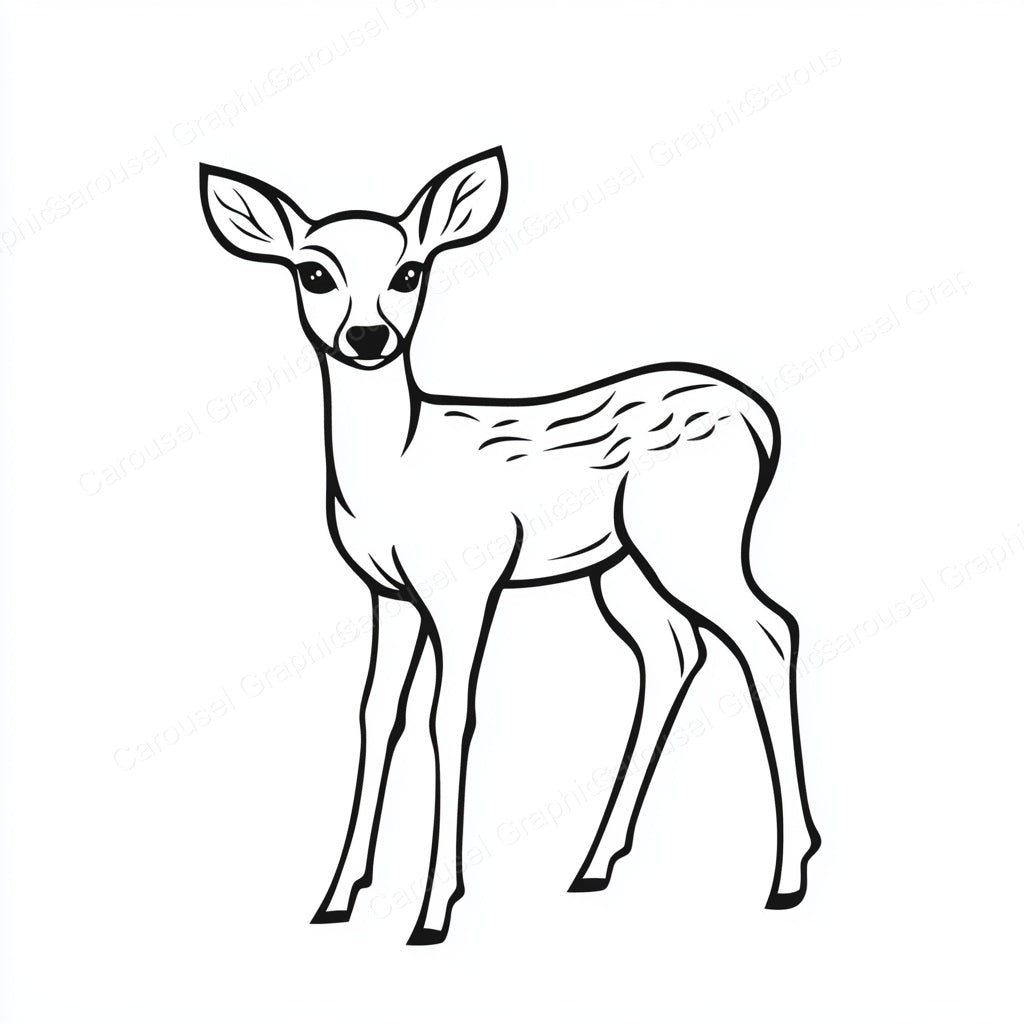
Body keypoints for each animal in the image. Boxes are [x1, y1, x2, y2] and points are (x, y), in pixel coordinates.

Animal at [199, 147, 820, 945]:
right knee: (674, 650)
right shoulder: (387, 592)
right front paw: (336, 897)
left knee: (769, 630)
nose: (368, 337)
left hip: (693, 534)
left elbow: (448, 716)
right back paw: (595, 863)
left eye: (410, 272)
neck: (396, 469)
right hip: (622, 565)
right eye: (313, 272)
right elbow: (376, 714)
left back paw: (788, 873)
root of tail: (759, 416)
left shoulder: (467, 579)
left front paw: (434, 910)